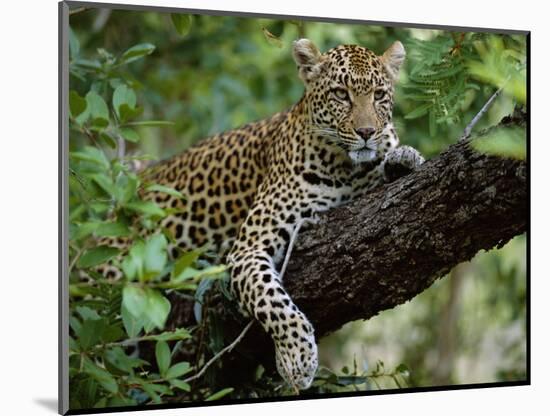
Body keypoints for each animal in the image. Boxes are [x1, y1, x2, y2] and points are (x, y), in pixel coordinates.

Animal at [100, 38, 426, 390]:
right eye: (341, 94)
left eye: (379, 95)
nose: (367, 132)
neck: (346, 168)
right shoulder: (248, 249)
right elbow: (273, 302)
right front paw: (297, 359)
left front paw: (404, 158)